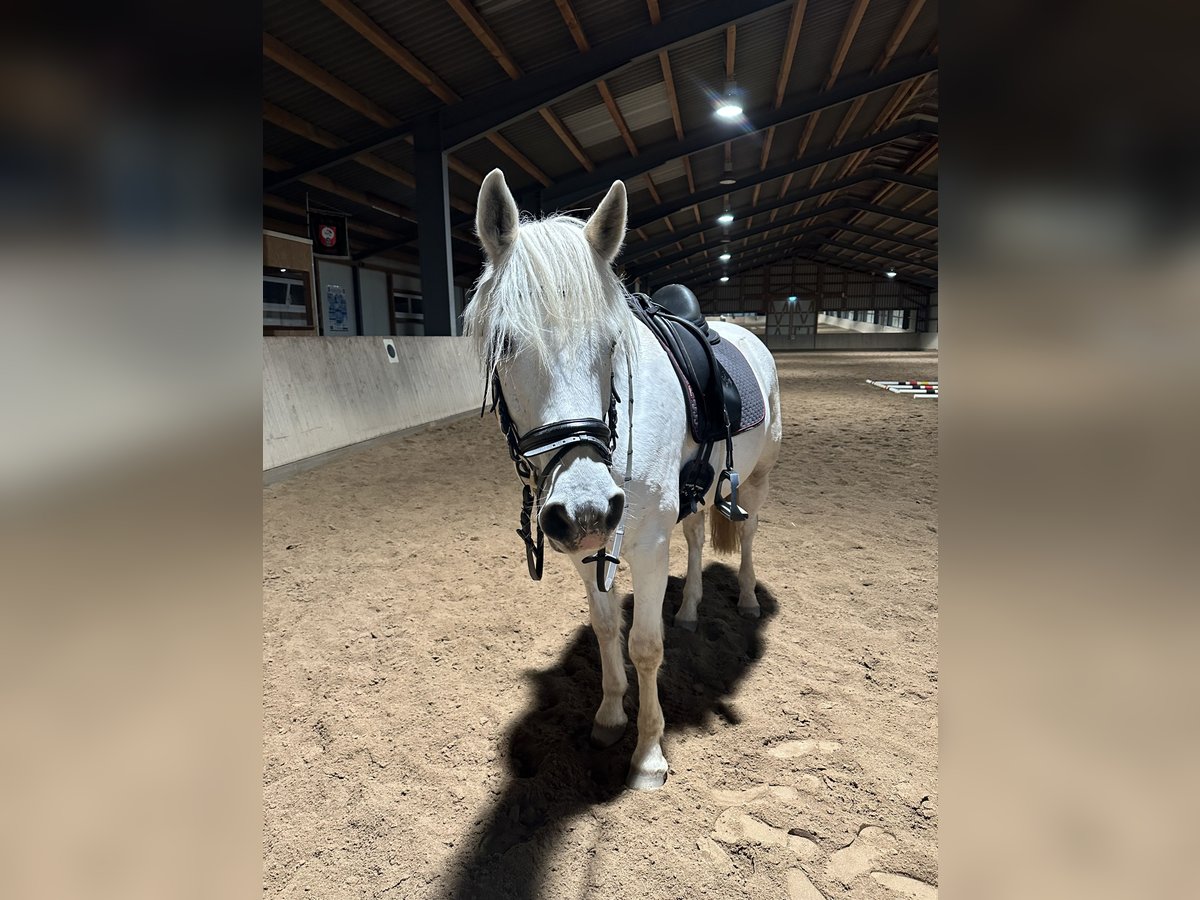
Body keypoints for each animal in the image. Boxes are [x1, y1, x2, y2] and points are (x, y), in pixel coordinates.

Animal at [465, 169, 782, 790]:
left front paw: (649, 754)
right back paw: (690, 611)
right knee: (697, 539)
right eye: (505, 343)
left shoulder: (648, 544)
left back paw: (747, 600)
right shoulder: (590, 547)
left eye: (612, 343)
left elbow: (645, 646)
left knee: (749, 534)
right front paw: (610, 717)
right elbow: (607, 628)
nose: (585, 508)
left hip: (755, 480)